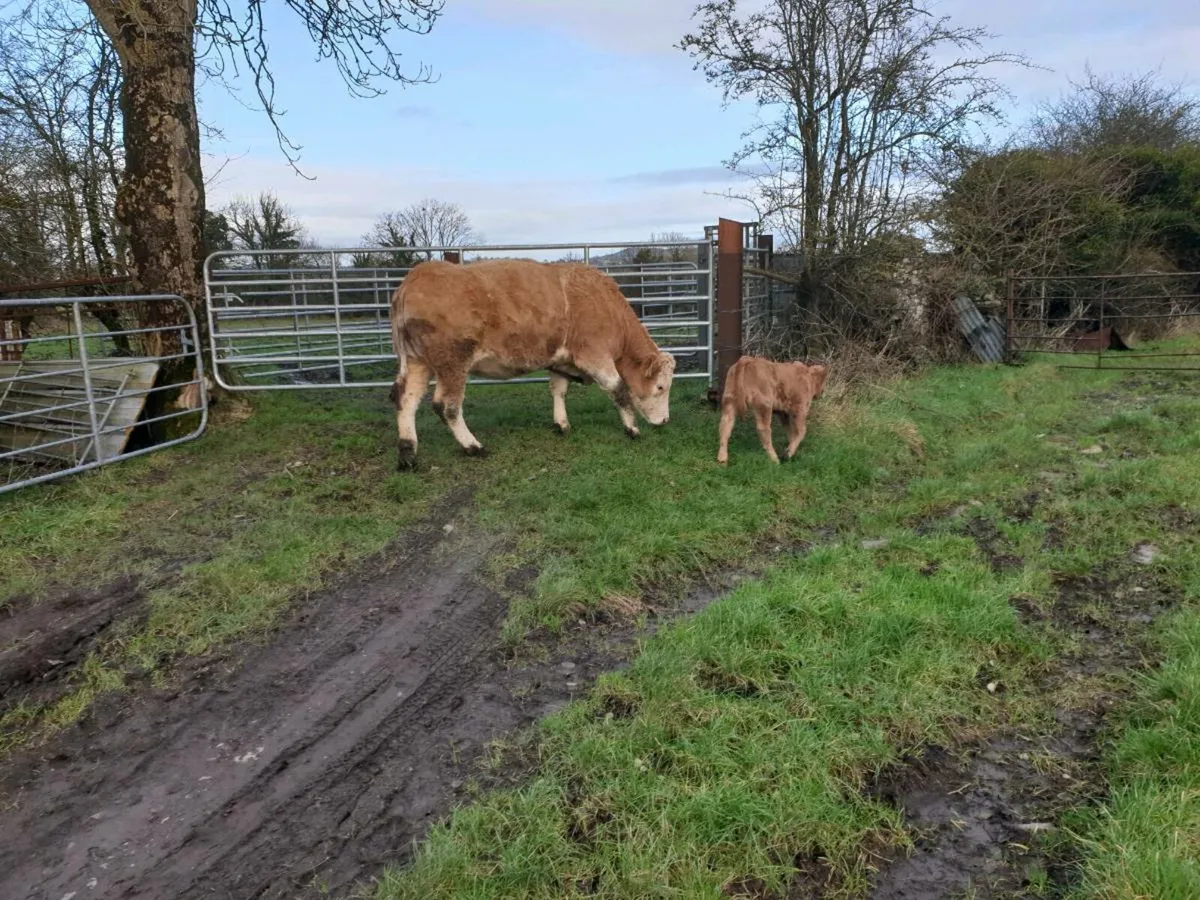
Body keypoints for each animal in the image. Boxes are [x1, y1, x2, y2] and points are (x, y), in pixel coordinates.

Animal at [390, 258, 677, 470]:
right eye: (661, 387)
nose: (665, 420)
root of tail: (416, 277)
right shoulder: (595, 356)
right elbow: (619, 390)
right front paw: (632, 429)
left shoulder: (561, 360)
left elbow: (559, 390)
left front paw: (561, 424)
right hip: (452, 363)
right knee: (447, 406)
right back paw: (473, 446)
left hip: (416, 361)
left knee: (405, 399)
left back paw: (408, 453)